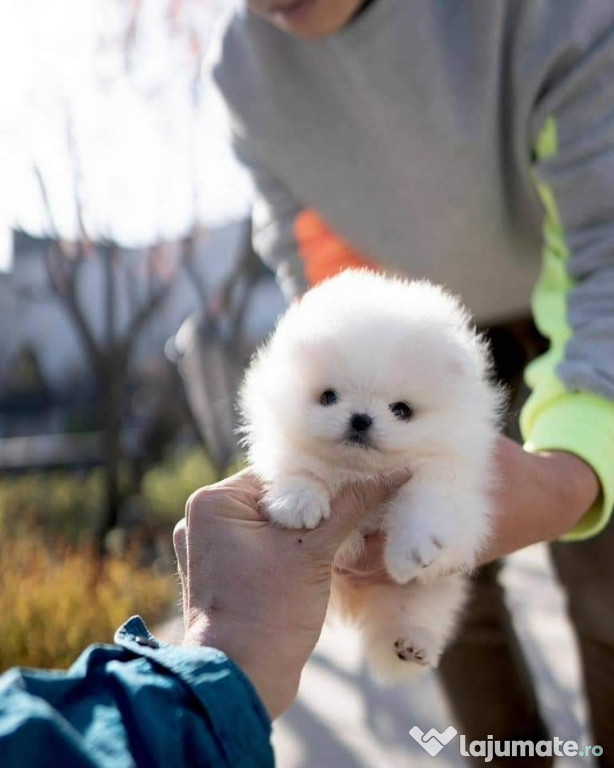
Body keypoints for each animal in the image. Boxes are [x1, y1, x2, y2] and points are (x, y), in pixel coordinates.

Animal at [238, 268, 502, 680]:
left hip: (427, 592)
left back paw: (410, 646)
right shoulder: (287, 450)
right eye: (328, 396)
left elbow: (426, 505)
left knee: (412, 614)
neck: (359, 473)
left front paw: (412, 548)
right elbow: (300, 468)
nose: (360, 418)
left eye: (402, 410)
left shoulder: (446, 480)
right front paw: (298, 503)